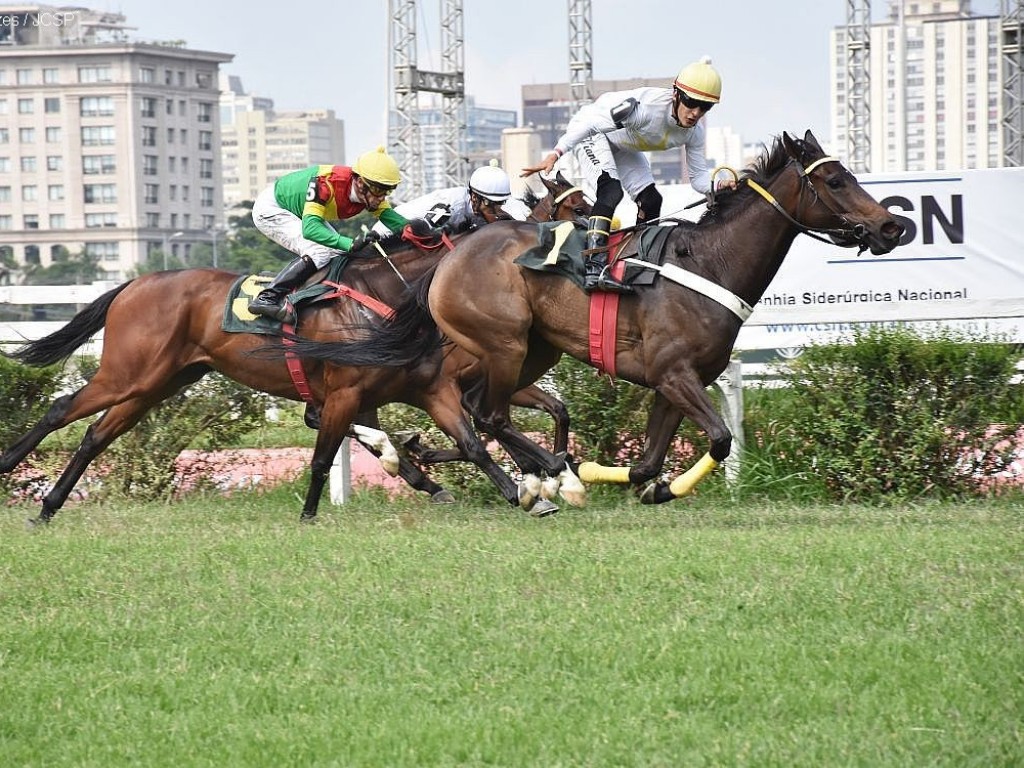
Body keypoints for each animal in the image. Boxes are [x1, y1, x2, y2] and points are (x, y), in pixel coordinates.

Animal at [0, 175, 589, 528]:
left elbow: (475, 441)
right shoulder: (355, 390)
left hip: (158, 383)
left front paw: (534, 488)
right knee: (61, 409)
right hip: (129, 373)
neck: (394, 295)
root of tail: (134, 284)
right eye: (578, 208)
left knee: (96, 435)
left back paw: (47, 507)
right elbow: (329, 450)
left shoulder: (430, 387)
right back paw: (10, 466)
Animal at [286, 131, 905, 505]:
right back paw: (539, 474)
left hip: (533, 349)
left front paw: (638, 485)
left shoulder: (672, 382)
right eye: (834, 180)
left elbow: (649, 462)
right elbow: (721, 438)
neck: (708, 262)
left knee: (478, 416)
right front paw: (578, 474)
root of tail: (448, 260)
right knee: (485, 416)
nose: (892, 226)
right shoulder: (675, 375)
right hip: (503, 346)